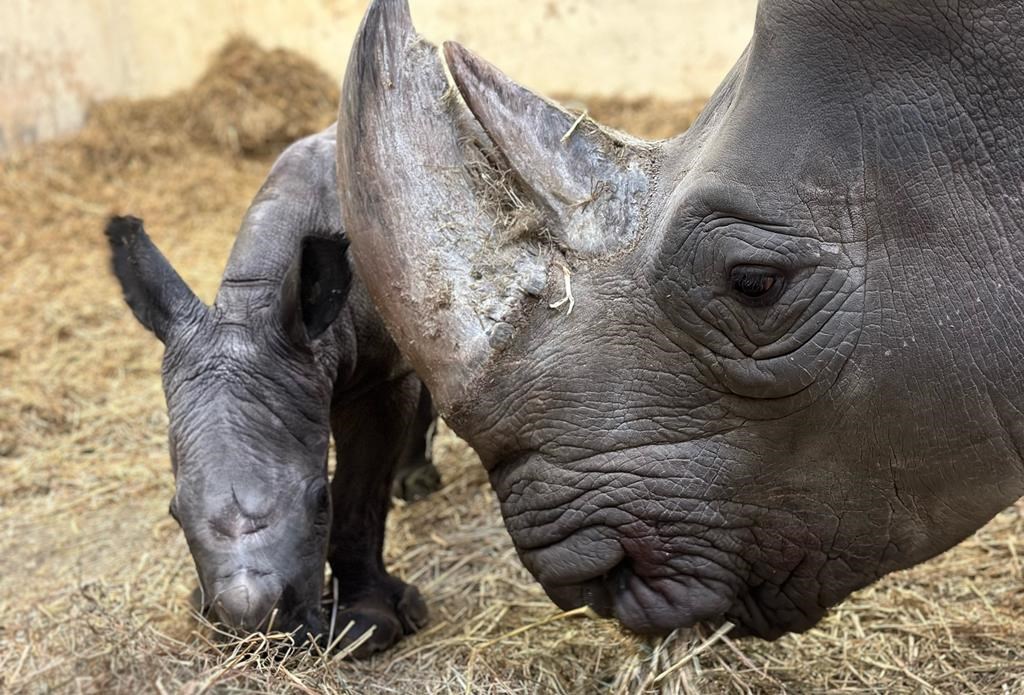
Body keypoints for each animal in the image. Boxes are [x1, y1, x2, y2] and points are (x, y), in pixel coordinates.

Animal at [106, 127, 437, 655]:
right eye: (174, 513)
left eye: (319, 501)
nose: (257, 629)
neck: (252, 301)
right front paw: (203, 610)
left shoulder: (376, 382)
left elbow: (359, 495)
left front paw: (367, 627)